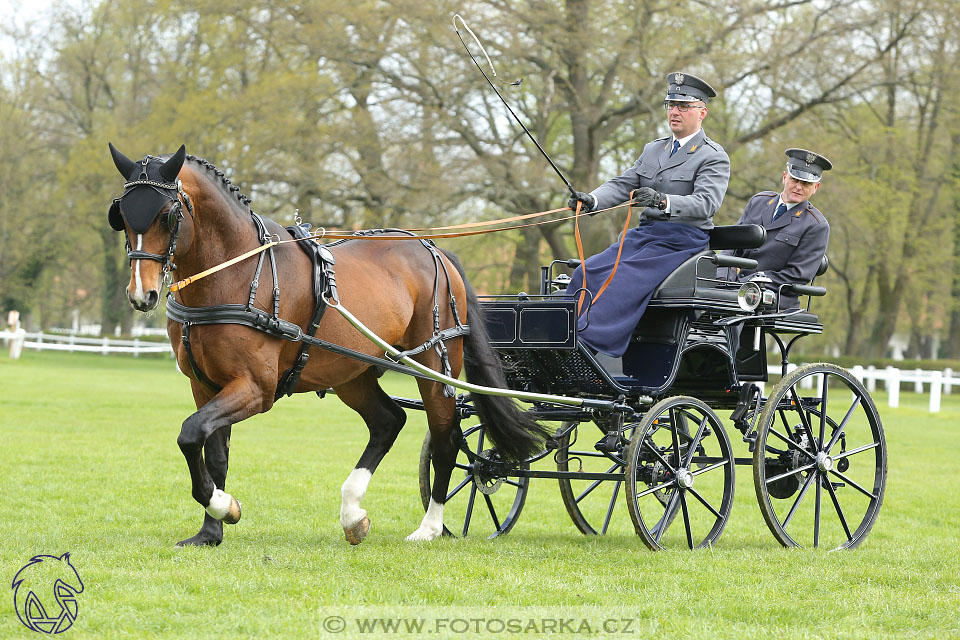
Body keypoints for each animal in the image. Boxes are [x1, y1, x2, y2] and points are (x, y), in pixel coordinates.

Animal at [106, 144, 548, 544]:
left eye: (167, 215)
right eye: (122, 216)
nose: (142, 294)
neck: (236, 272)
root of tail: (433, 249)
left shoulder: (256, 388)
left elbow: (189, 433)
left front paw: (221, 506)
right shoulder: (206, 385)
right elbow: (211, 449)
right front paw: (212, 528)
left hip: (434, 365)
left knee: (446, 438)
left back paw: (429, 527)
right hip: (351, 373)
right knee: (389, 422)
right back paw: (353, 515)